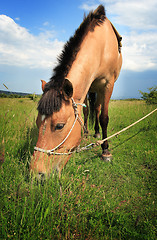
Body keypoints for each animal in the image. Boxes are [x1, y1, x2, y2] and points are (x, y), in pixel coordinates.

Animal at [30, 5, 122, 177]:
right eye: (38, 122)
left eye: (59, 126)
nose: (37, 173)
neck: (102, 45)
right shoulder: (85, 88)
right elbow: (85, 111)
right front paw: (84, 134)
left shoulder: (108, 85)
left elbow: (104, 117)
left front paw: (106, 151)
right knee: (90, 110)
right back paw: (88, 132)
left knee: (97, 110)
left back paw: (97, 134)